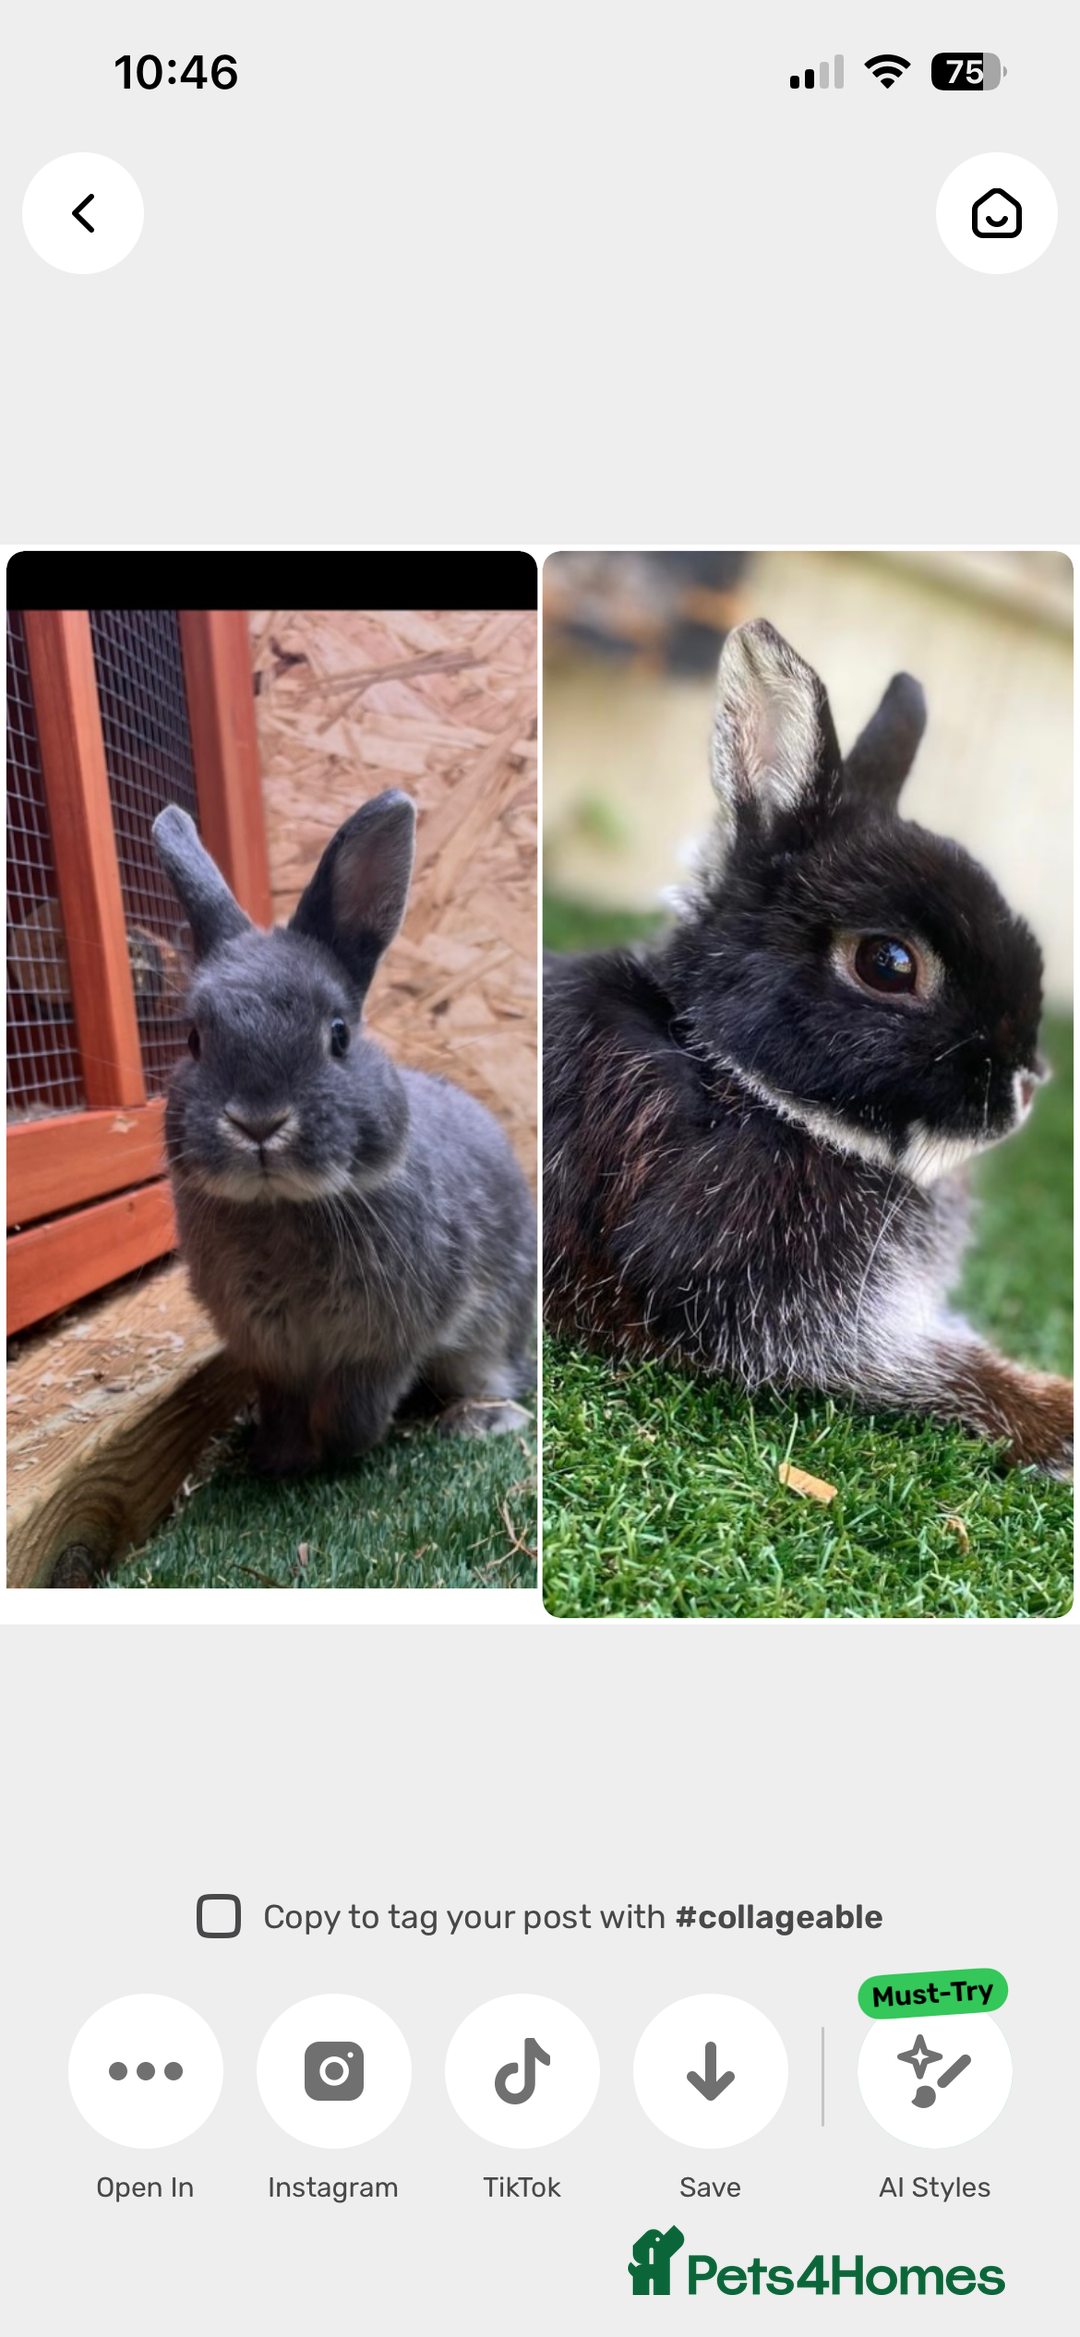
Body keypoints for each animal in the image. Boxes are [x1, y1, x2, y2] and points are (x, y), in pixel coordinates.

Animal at [153, 790, 535, 1476]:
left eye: (338, 1035)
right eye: (194, 1040)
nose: (258, 1122)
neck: (281, 1207)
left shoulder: (382, 1346)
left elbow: (356, 1406)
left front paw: (336, 1451)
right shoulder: (271, 1351)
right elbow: (281, 1404)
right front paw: (278, 1460)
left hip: (494, 1326)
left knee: (496, 1373)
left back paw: (480, 1420)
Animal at [544, 618, 1072, 1476]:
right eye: (888, 963)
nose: (1028, 1086)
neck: (746, 1087)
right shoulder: (769, 1303)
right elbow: (943, 1370)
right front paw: (1060, 1416)